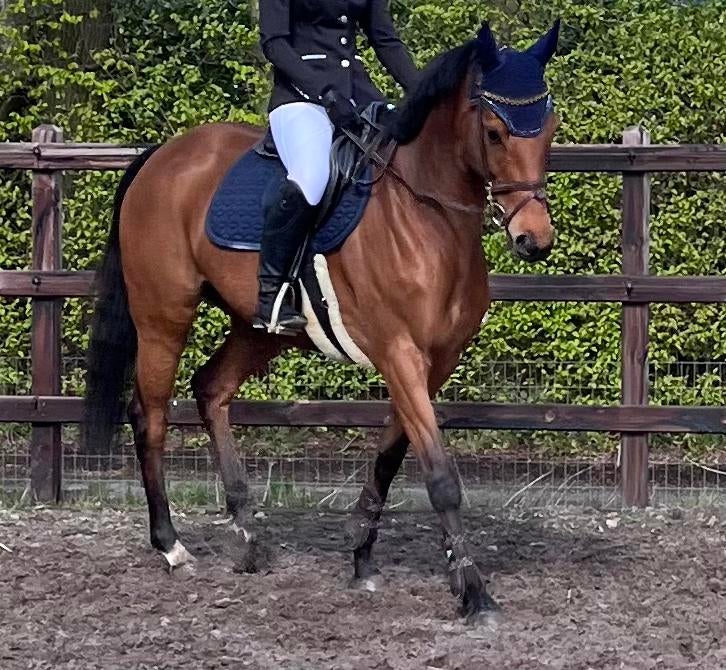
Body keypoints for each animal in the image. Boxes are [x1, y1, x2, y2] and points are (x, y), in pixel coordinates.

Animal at [85, 21, 560, 620]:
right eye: (495, 133)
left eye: (550, 128)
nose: (534, 240)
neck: (426, 215)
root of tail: (164, 154)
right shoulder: (398, 353)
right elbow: (439, 474)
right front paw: (474, 591)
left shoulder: (434, 363)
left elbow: (392, 455)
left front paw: (362, 553)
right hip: (163, 315)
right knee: (149, 416)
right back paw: (172, 546)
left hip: (256, 328)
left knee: (212, 389)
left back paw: (247, 536)